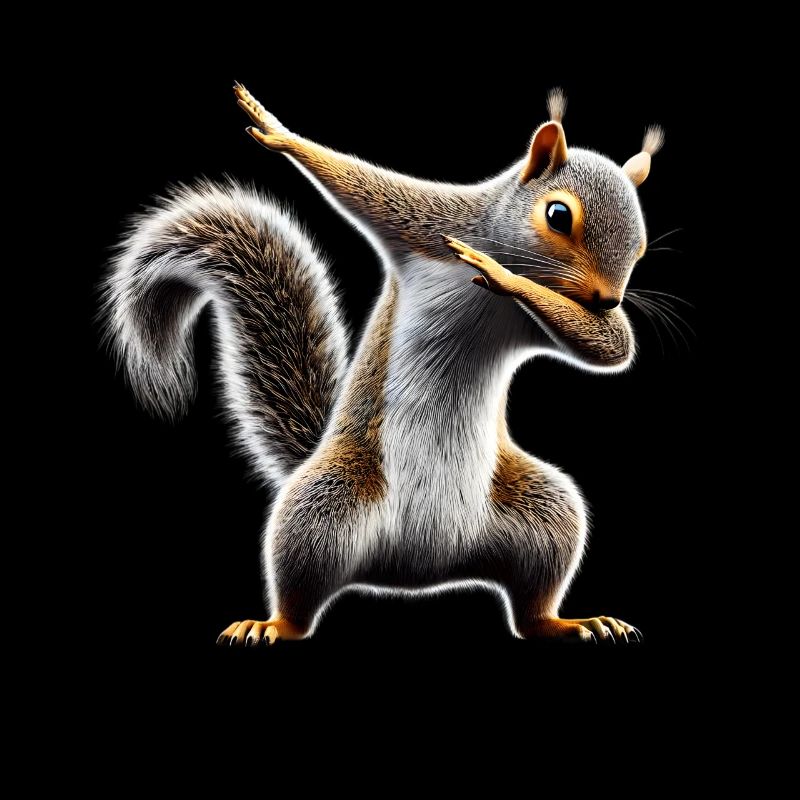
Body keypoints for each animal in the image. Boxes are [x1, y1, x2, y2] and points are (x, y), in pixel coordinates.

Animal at [104, 83, 663, 645]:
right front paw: (278, 131)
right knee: (300, 600)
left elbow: (612, 345)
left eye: (640, 244)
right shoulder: (431, 222)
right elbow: (361, 186)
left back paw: (570, 622)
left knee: (532, 609)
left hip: (546, 514)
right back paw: (272, 624)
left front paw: (506, 276)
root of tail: (418, 570)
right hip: (321, 508)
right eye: (558, 216)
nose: (609, 299)